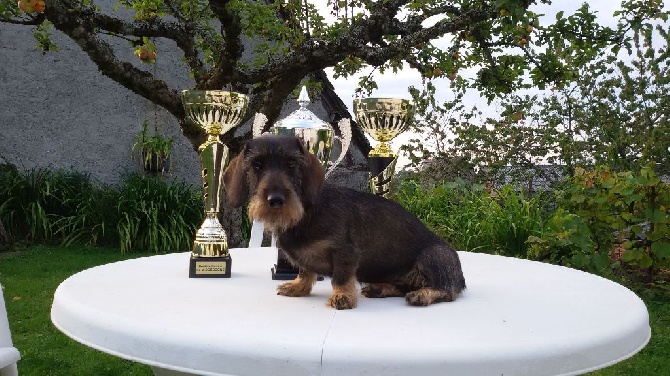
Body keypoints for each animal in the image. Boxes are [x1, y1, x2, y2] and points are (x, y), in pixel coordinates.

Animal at [223, 134, 464, 308]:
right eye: (257, 164)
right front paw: (298, 286)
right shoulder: (305, 259)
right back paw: (380, 288)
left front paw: (342, 297)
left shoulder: (345, 252)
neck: (305, 216)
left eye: (291, 164)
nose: (275, 200)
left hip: (434, 256)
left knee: (448, 291)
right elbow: (305, 271)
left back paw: (422, 294)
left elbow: (341, 276)